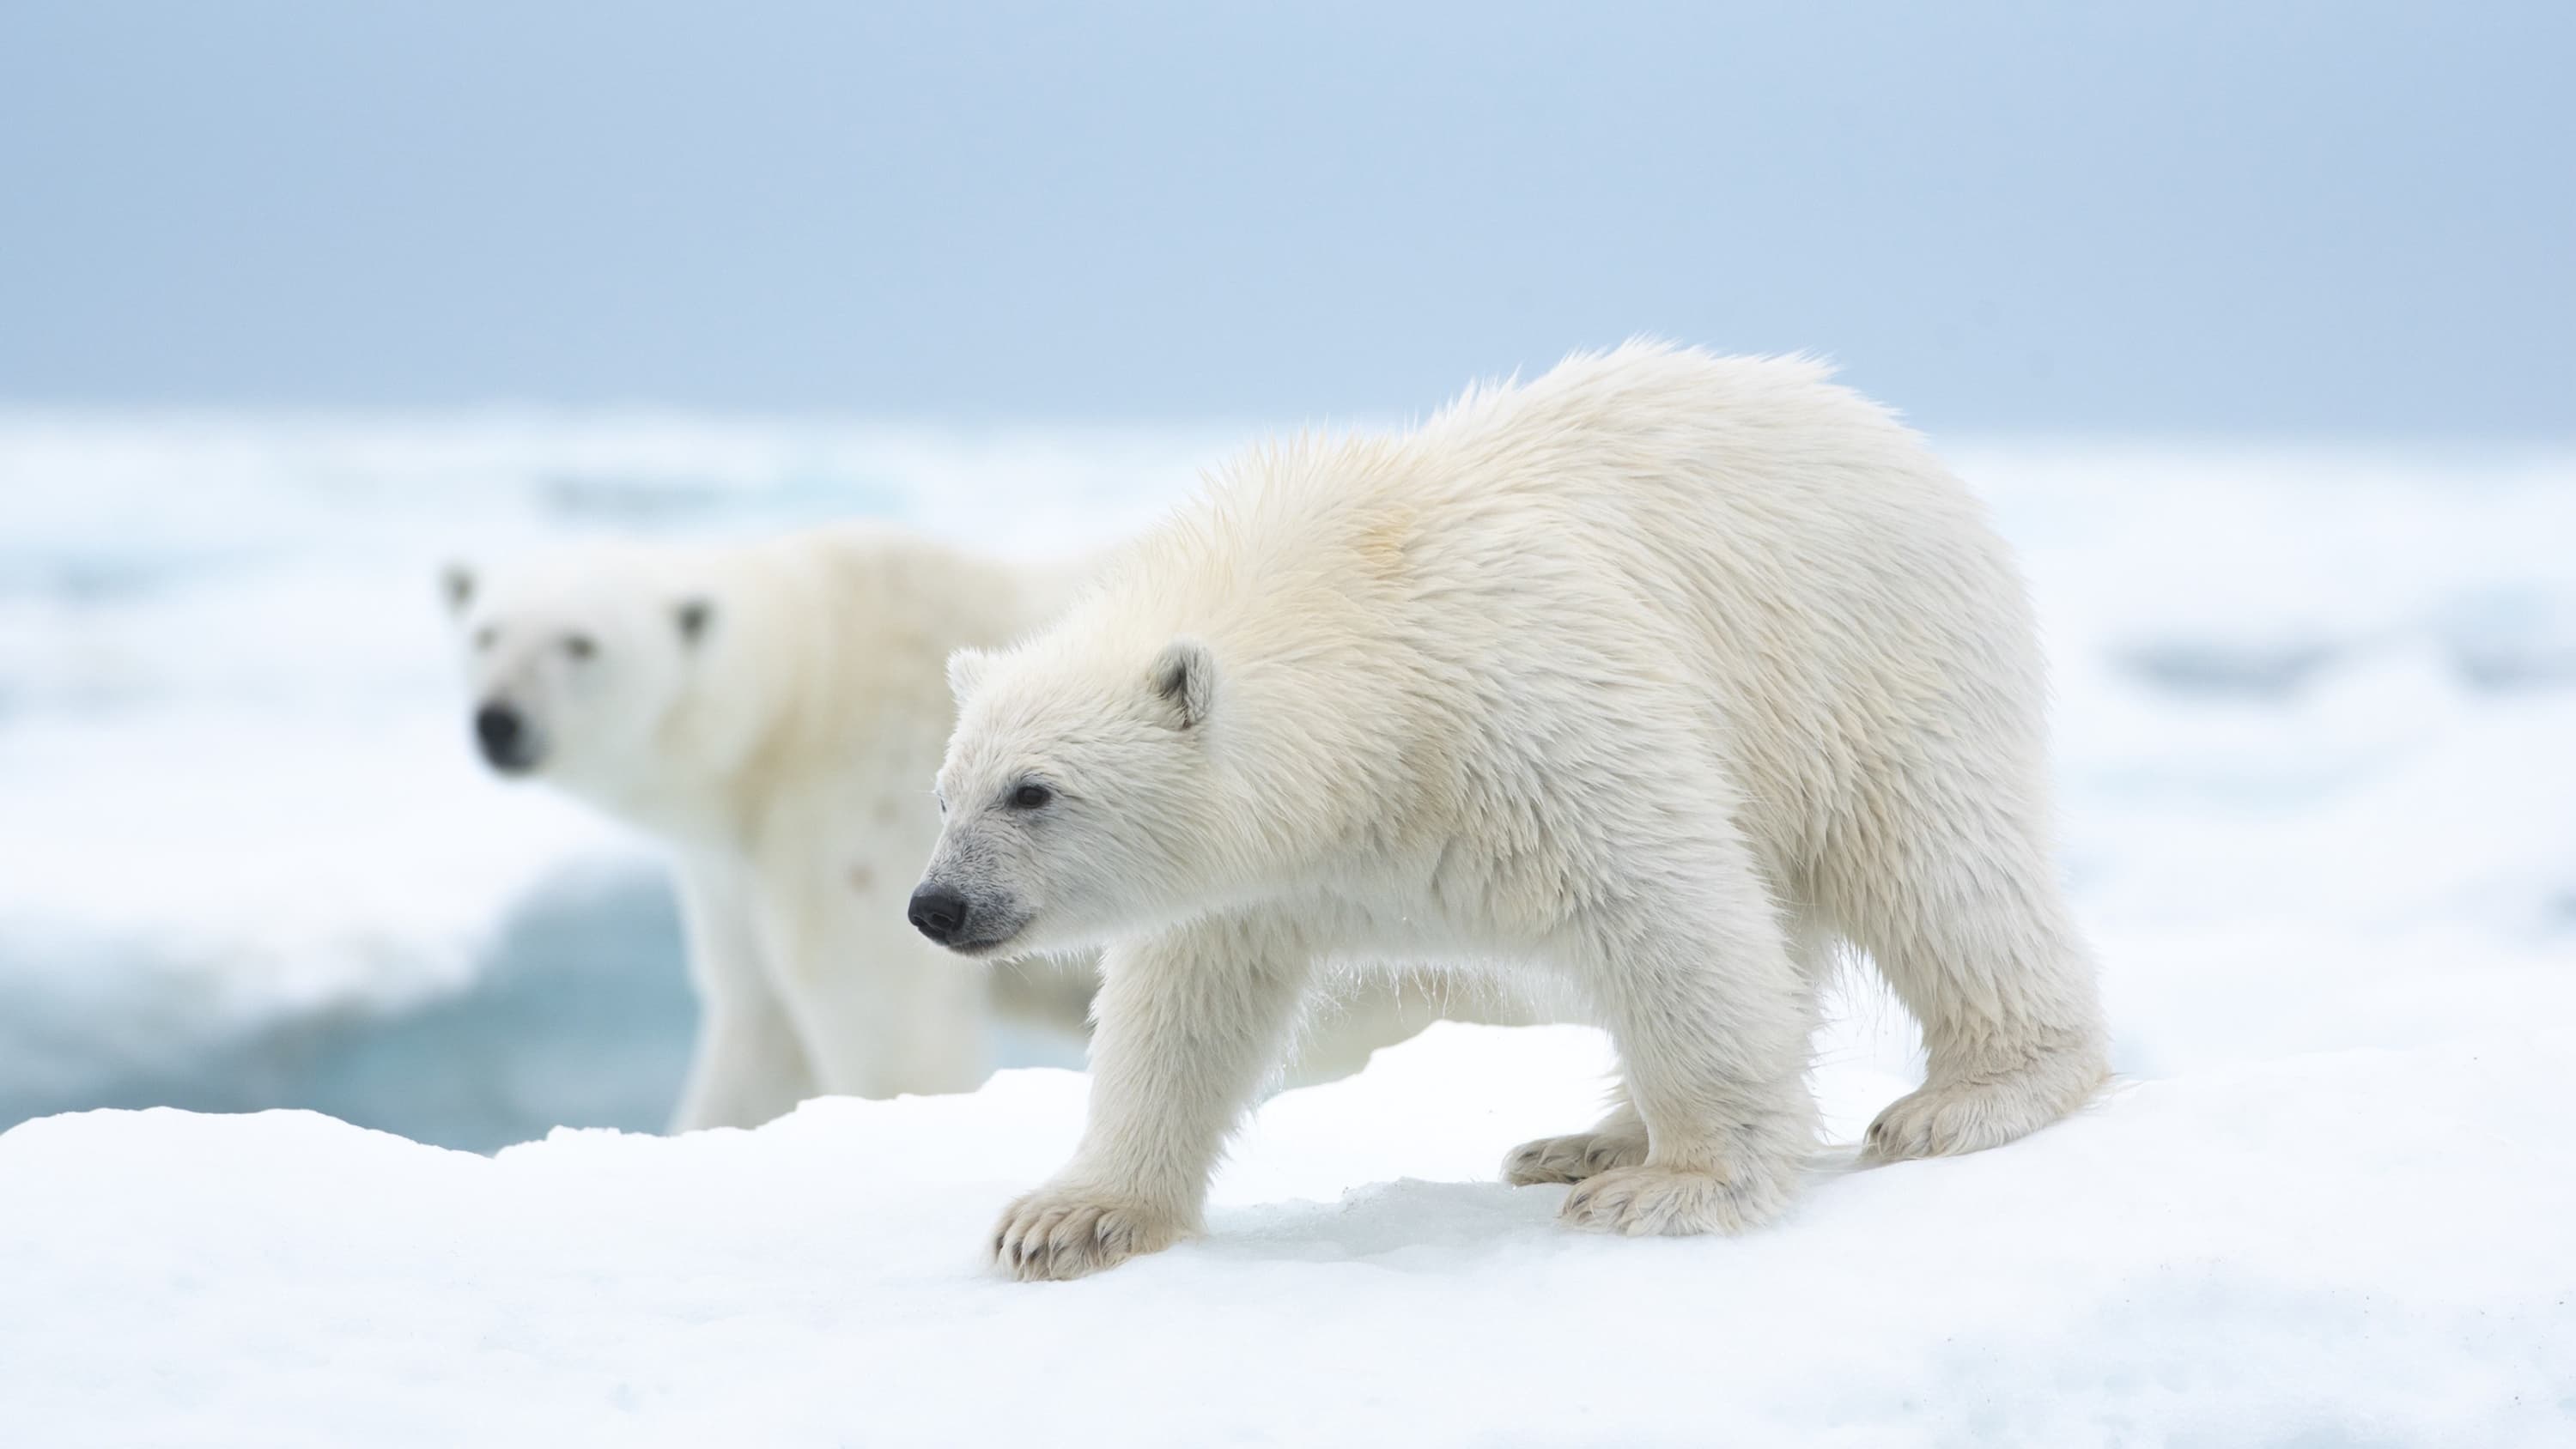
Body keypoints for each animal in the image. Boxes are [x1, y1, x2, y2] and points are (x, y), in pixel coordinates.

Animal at [917, 342, 2102, 1282]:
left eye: (1033, 789)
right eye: (944, 789)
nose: (938, 904)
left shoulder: (1528, 721)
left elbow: (1667, 912)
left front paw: (1678, 1186)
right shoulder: (1260, 877)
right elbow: (1181, 1008)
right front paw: (1069, 1218)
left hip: (1868, 665)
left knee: (1932, 865)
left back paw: (1971, 1094)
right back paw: (1587, 1137)